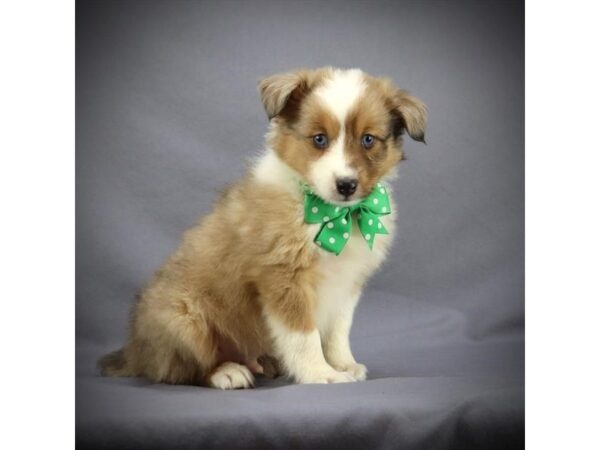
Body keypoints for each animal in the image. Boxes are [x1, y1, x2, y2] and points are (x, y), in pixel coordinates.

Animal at [98, 67, 426, 390]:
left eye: (368, 140)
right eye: (319, 139)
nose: (346, 185)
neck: (332, 214)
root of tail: (135, 351)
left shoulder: (347, 282)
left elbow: (337, 331)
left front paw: (343, 364)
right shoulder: (284, 278)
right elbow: (304, 336)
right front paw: (321, 373)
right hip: (183, 320)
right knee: (181, 369)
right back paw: (228, 372)